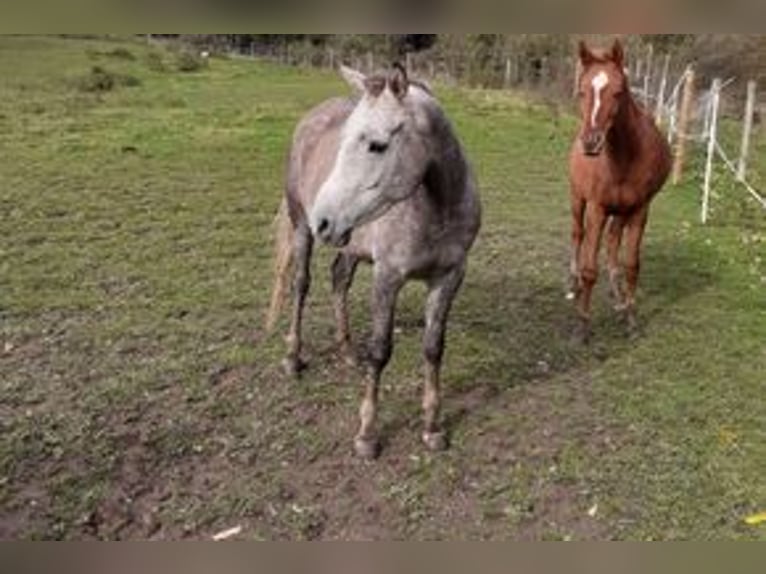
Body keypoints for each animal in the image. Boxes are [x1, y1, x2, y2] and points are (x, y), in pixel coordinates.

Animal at [265, 63, 481, 459]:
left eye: (377, 145)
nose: (324, 220)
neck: (438, 209)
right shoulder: (388, 276)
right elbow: (380, 351)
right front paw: (367, 434)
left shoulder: (449, 276)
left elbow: (434, 348)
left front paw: (432, 427)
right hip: (301, 226)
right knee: (301, 285)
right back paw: (293, 358)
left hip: (350, 244)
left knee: (339, 280)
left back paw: (348, 351)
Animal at [568, 39, 672, 342]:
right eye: (582, 91)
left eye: (617, 92)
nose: (591, 143)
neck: (623, 159)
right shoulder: (597, 208)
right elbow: (590, 270)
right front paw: (582, 325)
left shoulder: (639, 210)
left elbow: (631, 265)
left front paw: (631, 318)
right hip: (577, 198)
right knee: (577, 234)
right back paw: (572, 282)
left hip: (621, 212)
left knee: (613, 242)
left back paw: (617, 297)